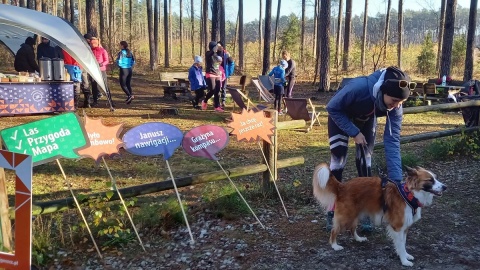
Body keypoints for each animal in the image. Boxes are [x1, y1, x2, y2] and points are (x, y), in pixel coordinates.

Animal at [314, 162, 448, 266]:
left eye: (435, 178)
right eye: (430, 180)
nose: (445, 187)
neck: (409, 195)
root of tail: (342, 186)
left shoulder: (405, 227)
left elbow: (403, 243)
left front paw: (406, 255)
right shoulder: (398, 227)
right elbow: (401, 245)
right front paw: (404, 261)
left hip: (356, 214)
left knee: (352, 229)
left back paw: (359, 239)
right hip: (347, 216)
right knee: (334, 230)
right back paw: (335, 246)